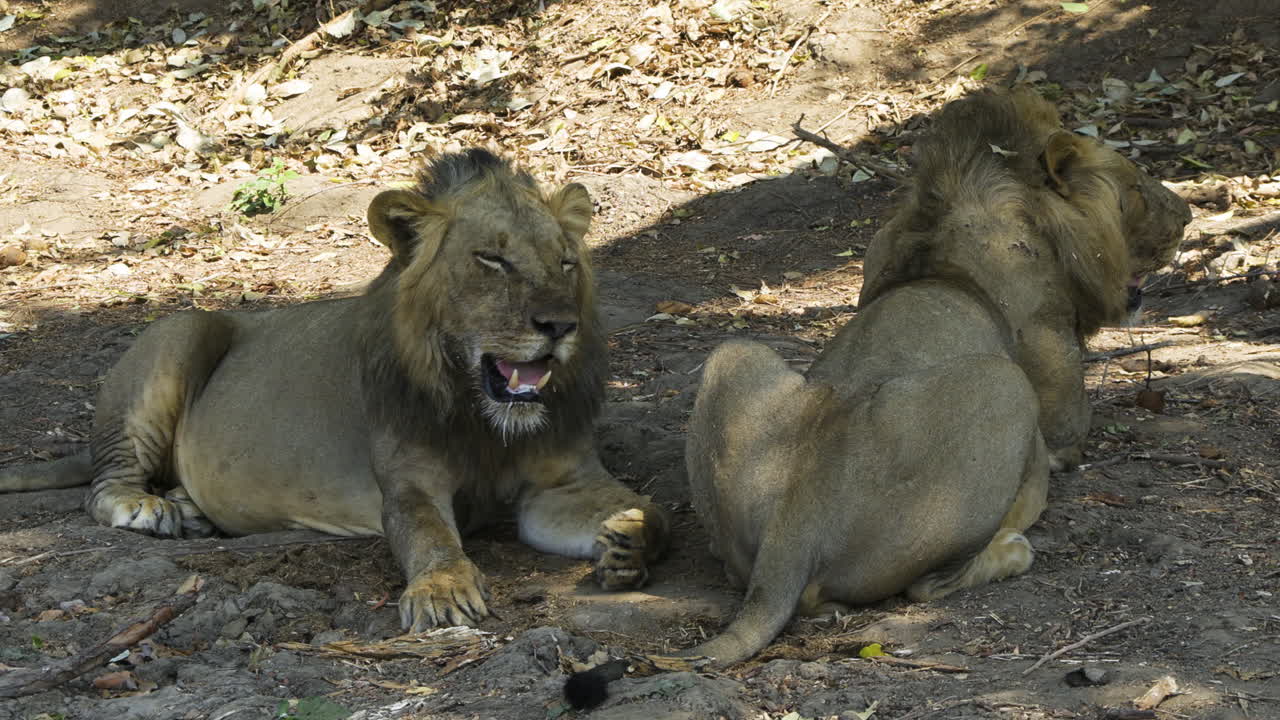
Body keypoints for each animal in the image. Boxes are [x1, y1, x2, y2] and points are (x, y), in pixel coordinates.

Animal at [0, 148, 669, 631]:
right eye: (492, 260)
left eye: (565, 263)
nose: (559, 325)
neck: (485, 423)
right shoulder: (408, 483)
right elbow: (428, 535)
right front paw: (443, 591)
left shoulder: (564, 482)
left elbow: (653, 510)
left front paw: (628, 538)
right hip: (181, 327)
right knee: (103, 485)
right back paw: (149, 508)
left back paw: (188, 507)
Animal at [682, 88, 1190, 667]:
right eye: (1136, 188)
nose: (1190, 215)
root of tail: (792, 531)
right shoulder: (1053, 369)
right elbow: (1069, 437)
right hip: (1001, 385)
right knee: (925, 587)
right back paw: (1010, 550)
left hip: (735, 354)